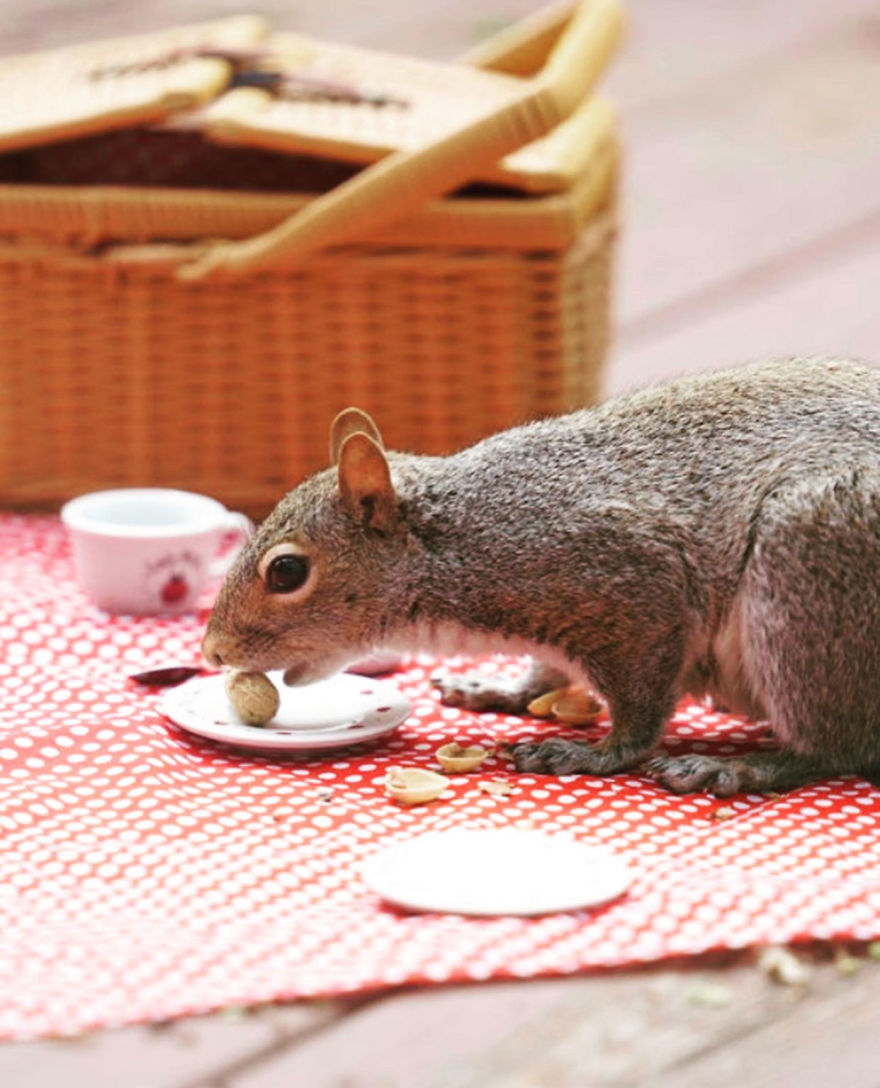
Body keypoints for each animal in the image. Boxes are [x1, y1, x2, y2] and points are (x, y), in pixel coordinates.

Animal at [202, 357, 880, 797]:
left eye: (287, 571)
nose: (212, 652)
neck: (460, 538)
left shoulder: (635, 588)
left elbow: (640, 712)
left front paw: (591, 753)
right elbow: (547, 672)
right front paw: (500, 689)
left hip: (806, 571)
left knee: (835, 746)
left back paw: (743, 769)